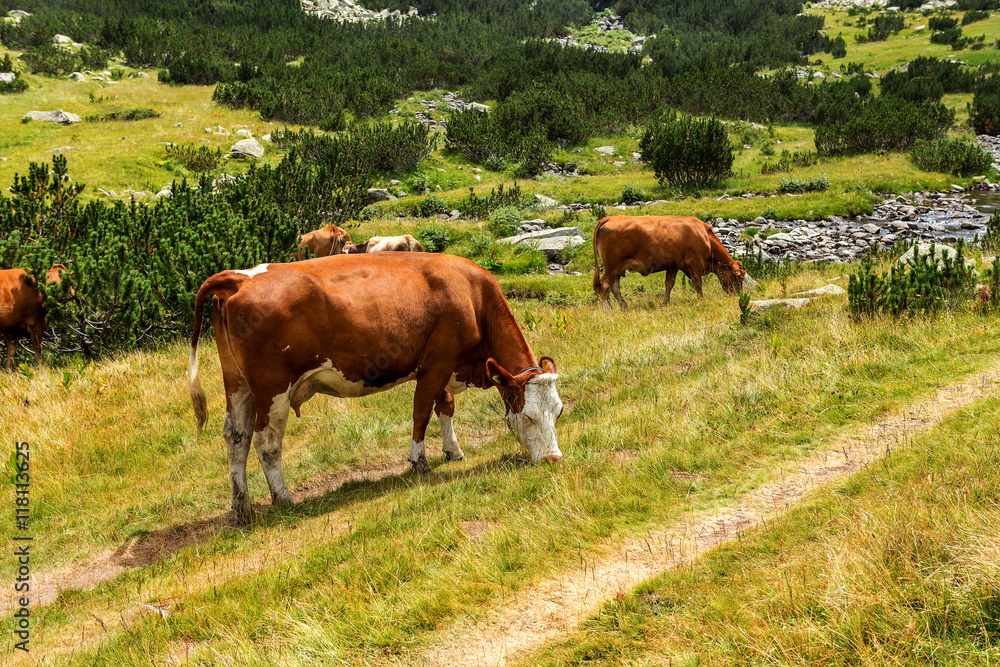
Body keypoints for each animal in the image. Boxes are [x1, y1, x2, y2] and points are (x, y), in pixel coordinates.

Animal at [188, 253, 564, 520]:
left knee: (236, 437)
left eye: (559, 412)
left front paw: (453, 451)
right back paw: (283, 498)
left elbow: (444, 407)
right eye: (528, 416)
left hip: (237, 385)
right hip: (273, 389)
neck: (473, 296)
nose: (554, 459)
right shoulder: (437, 363)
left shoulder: (443, 366)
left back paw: (242, 506)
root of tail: (239, 277)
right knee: (267, 442)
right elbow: (421, 412)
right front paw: (418, 461)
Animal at [588, 217, 748, 308]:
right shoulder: (695, 264)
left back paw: (624, 307)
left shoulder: (674, 265)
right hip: (611, 267)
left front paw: (666, 303)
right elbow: (698, 284)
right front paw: (701, 300)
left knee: (614, 288)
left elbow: (669, 284)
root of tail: (609, 218)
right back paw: (609, 309)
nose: (739, 296)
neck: (705, 236)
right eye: (738, 278)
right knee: (605, 287)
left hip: (617, 269)